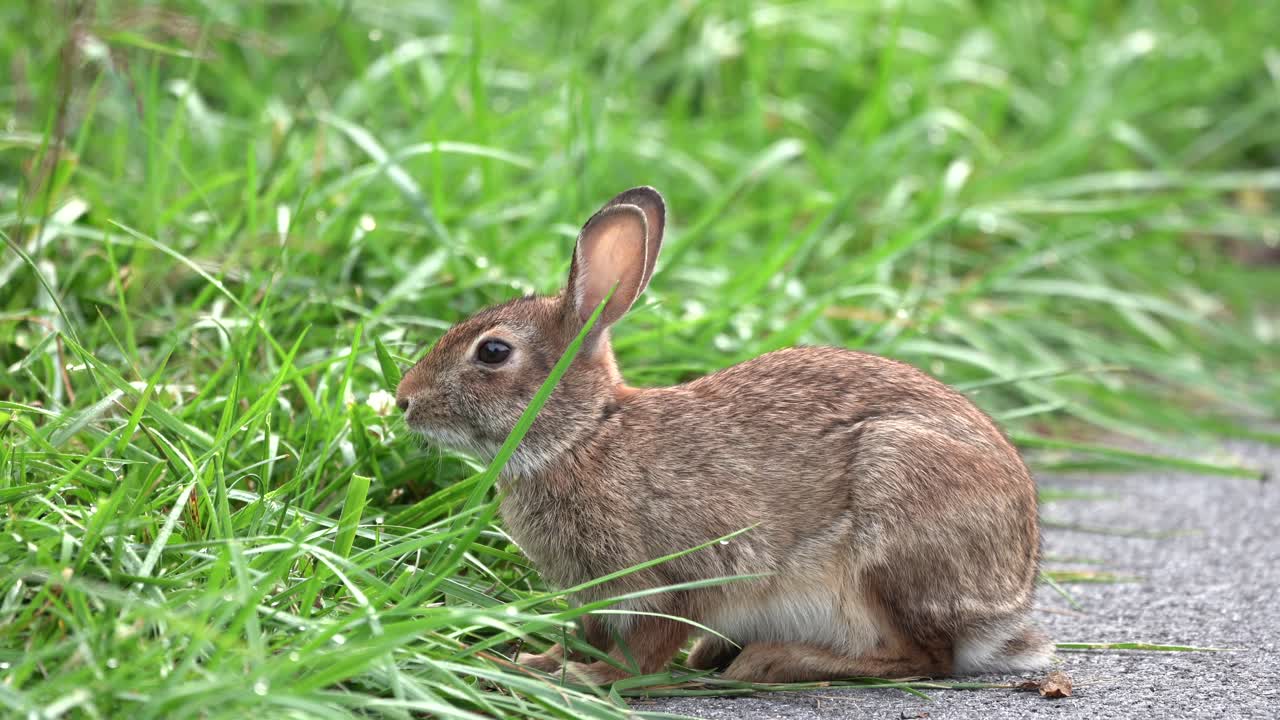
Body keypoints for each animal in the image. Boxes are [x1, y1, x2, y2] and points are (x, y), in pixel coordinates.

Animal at [395, 186, 1053, 684]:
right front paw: (539, 660)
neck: (583, 436)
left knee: (923, 657)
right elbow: (591, 633)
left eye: (493, 352)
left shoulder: (677, 572)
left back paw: (772, 662)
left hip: (892, 524)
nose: (404, 401)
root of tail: (1008, 599)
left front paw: (594, 678)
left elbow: (652, 642)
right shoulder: (596, 596)